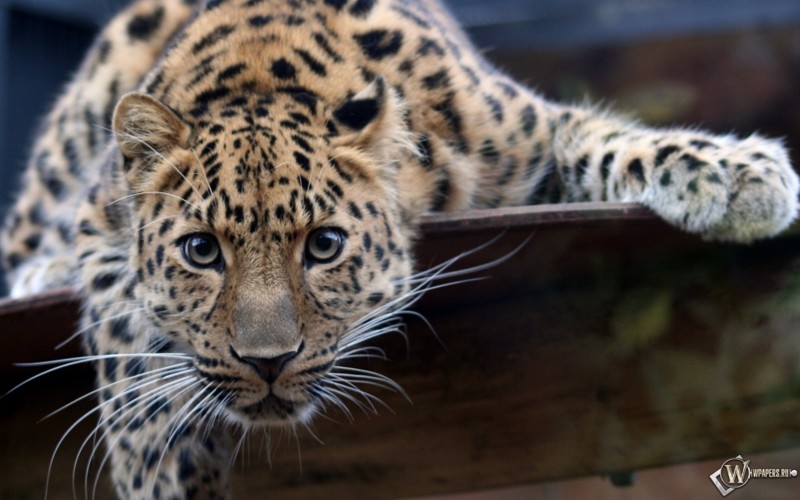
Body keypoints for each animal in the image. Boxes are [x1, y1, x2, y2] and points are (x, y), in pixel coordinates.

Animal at [0, 0, 796, 496]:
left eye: (324, 245)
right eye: (201, 251)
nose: (267, 363)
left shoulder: (531, 134)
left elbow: (611, 140)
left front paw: (741, 174)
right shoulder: (99, 223)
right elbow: (127, 350)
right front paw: (159, 472)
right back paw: (38, 268)